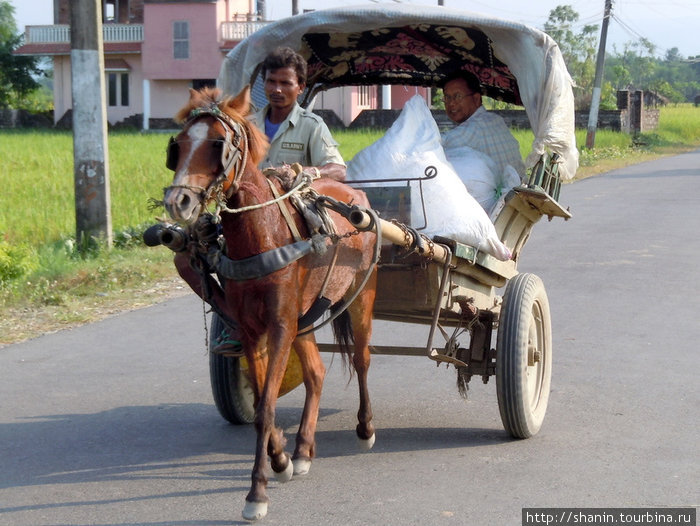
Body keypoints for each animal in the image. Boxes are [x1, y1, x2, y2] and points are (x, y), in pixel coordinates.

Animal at [163, 87, 378, 524]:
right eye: (179, 146)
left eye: (218, 144)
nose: (179, 201)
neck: (263, 235)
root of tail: (356, 196)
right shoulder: (252, 328)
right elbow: (266, 399)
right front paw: (279, 458)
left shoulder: (279, 325)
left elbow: (264, 408)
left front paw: (257, 491)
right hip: (304, 316)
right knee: (315, 374)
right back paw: (303, 449)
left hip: (360, 295)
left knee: (362, 359)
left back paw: (365, 428)